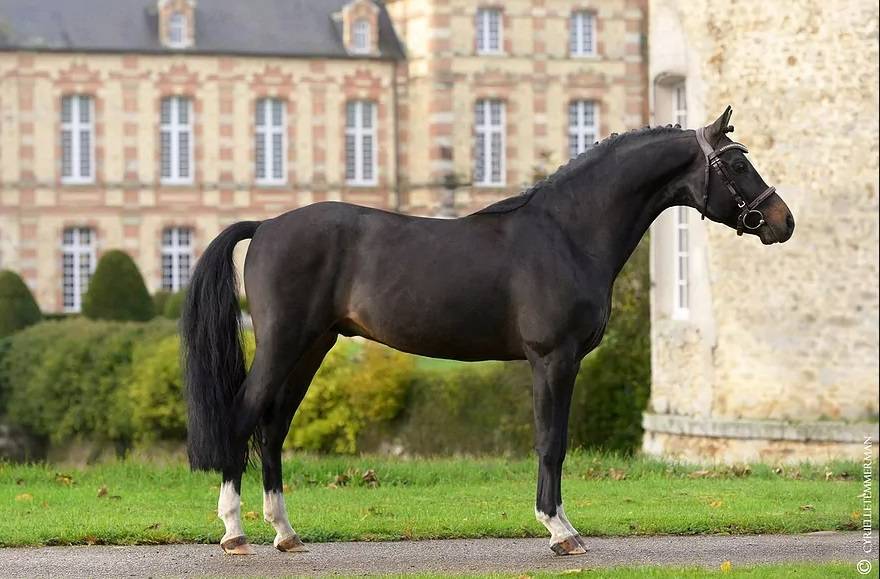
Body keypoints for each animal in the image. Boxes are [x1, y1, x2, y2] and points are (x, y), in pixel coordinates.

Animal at [181, 106, 795, 556]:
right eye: (738, 165)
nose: (783, 221)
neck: (566, 233)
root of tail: (266, 225)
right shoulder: (553, 359)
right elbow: (552, 442)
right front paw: (561, 532)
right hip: (284, 344)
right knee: (243, 417)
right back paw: (234, 532)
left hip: (312, 348)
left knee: (272, 429)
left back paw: (285, 533)